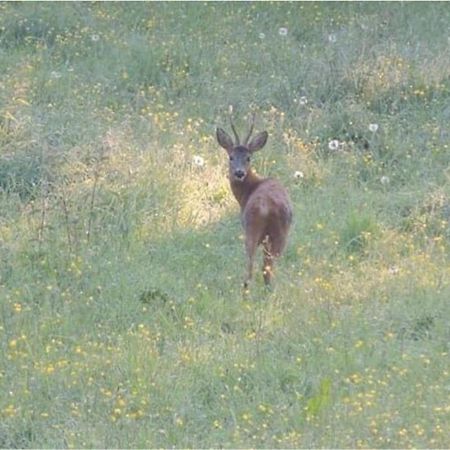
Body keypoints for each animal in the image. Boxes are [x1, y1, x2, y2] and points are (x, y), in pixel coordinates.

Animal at [216, 113, 294, 288]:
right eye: (231, 157)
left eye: (248, 158)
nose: (239, 173)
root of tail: (268, 207)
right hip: (280, 234)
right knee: (267, 266)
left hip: (252, 229)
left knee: (253, 265)